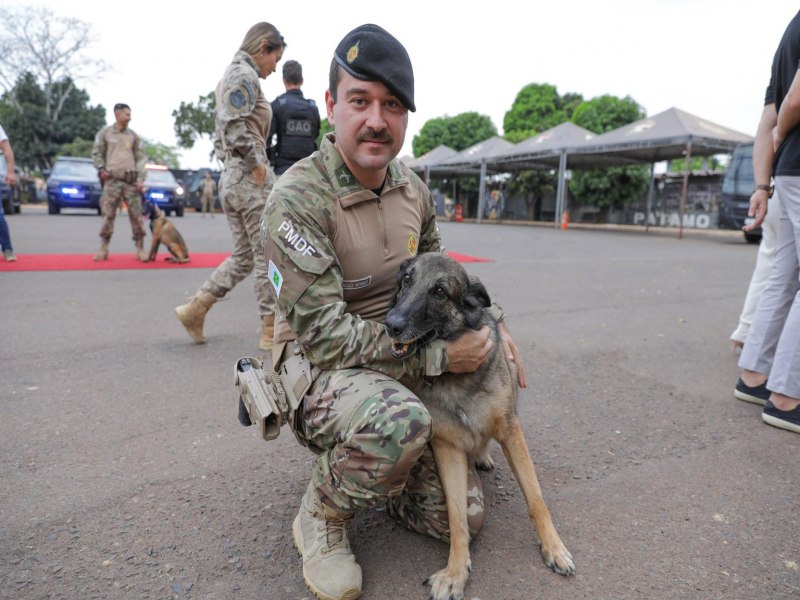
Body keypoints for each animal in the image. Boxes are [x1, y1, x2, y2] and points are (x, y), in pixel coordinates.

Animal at [384, 252, 572, 600]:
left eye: (440, 291)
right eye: (407, 280)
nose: (391, 324)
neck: (456, 379)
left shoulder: (511, 431)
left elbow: (536, 498)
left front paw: (554, 548)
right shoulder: (448, 448)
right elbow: (458, 517)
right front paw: (456, 572)